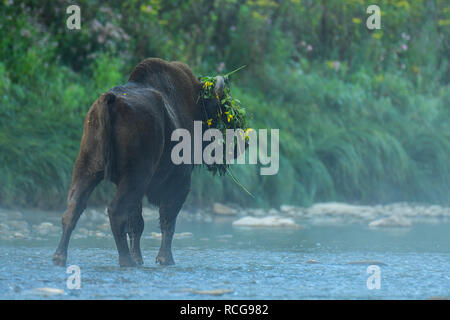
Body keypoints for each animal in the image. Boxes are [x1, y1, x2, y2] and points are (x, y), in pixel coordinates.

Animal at [51, 58, 229, 268]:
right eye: (219, 111)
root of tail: (110, 101)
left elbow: (137, 223)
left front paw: (140, 258)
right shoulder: (180, 182)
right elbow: (167, 220)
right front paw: (165, 259)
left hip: (87, 168)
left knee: (73, 209)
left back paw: (60, 257)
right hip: (134, 176)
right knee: (115, 212)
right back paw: (126, 260)